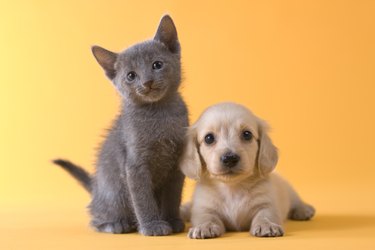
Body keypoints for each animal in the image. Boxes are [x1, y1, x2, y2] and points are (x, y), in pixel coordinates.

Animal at [53, 16, 188, 236]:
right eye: (131, 76)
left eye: (157, 64)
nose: (147, 82)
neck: (158, 112)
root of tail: (96, 188)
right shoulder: (134, 165)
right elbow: (142, 198)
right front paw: (152, 226)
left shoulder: (177, 163)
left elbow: (173, 195)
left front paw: (172, 220)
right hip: (113, 194)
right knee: (95, 217)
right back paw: (116, 224)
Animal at [181, 103, 316, 238]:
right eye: (209, 138)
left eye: (247, 134)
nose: (230, 158)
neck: (233, 188)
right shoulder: (203, 208)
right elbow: (206, 217)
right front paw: (204, 226)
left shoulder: (267, 204)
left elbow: (265, 214)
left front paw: (266, 225)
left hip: (289, 191)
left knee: (296, 201)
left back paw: (304, 210)